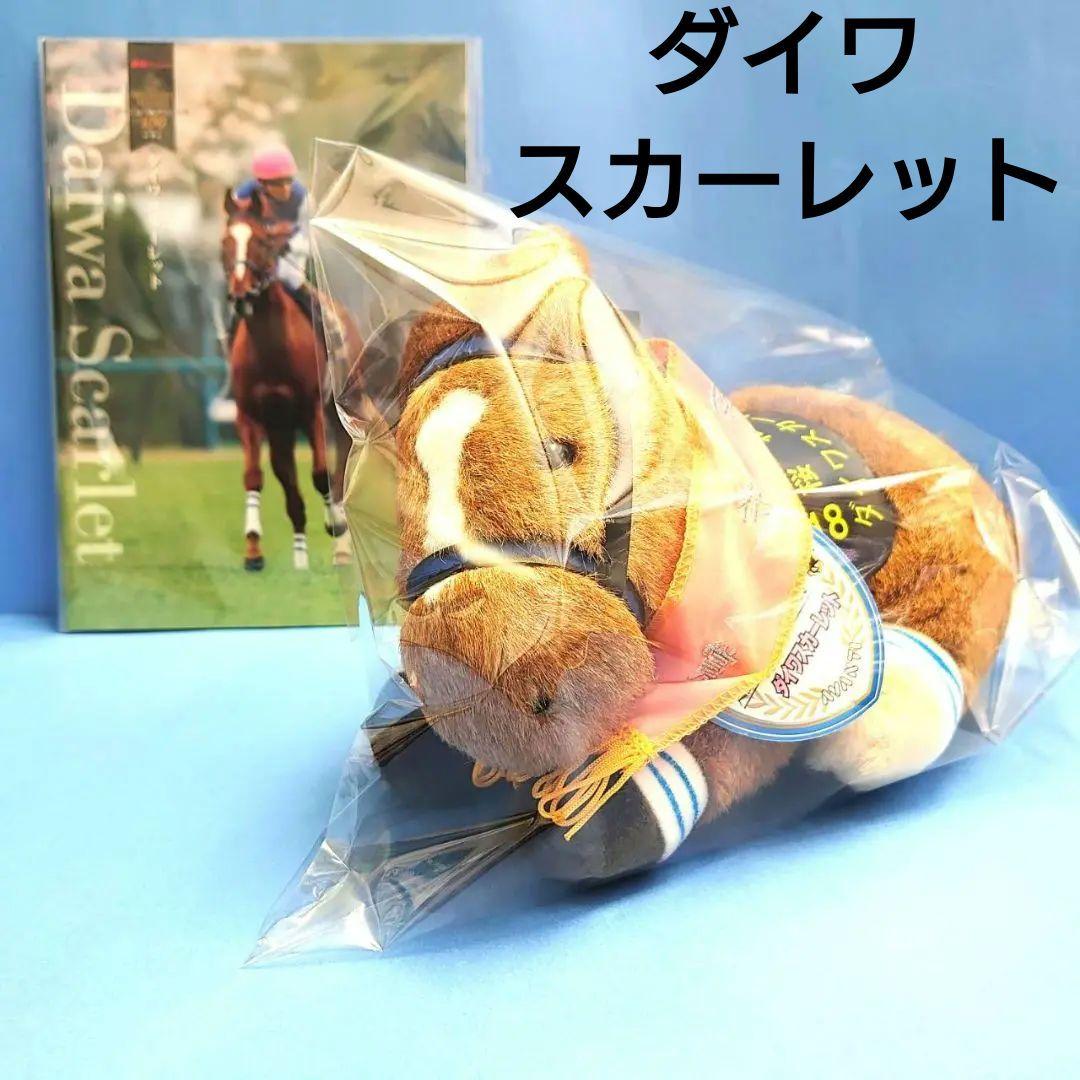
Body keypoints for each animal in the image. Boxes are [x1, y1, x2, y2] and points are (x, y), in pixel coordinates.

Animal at [221, 192, 350, 572]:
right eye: (225, 241)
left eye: (262, 242)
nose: (240, 296)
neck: (270, 348)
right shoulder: (250, 415)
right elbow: (254, 476)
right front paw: (253, 549)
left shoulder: (312, 410)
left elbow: (322, 473)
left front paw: (335, 523)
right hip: (281, 429)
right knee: (288, 483)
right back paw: (300, 557)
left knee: (340, 467)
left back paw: (341, 544)